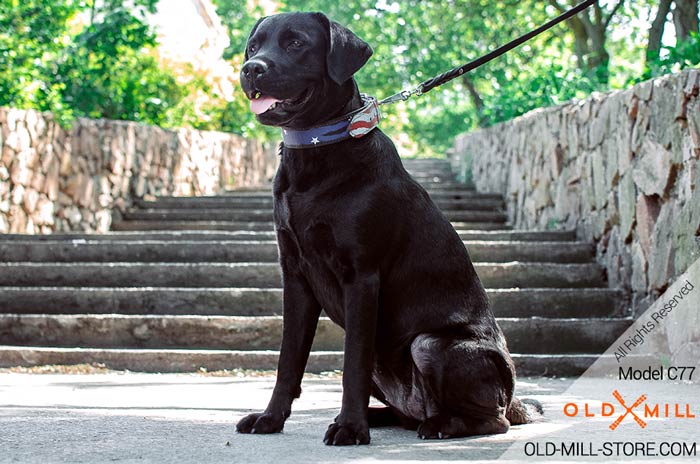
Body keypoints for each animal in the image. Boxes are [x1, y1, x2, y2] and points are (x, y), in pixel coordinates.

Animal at [238, 11, 540, 446]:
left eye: (296, 43)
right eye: (253, 47)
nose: (251, 69)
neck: (316, 150)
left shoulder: (362, 276)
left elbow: (352, 365)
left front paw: (350, 429)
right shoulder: (295, 276)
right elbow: (288, 361)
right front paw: (271, 418)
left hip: (432, 345)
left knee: (493, 419)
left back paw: (439, 425)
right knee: (405, 412)